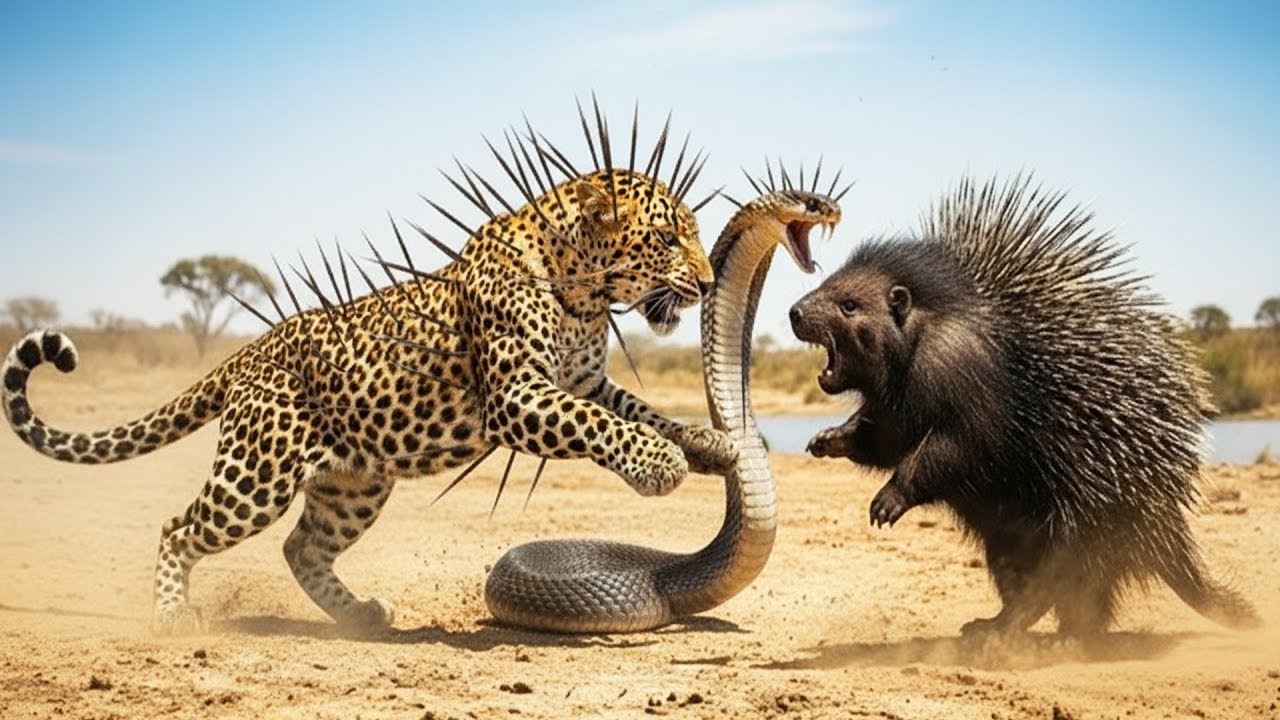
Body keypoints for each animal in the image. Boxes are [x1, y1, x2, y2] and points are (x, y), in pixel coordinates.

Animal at [2, 166, 738, 632]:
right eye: (668, 237)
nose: (706, 281)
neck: (582, 290)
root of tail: (251, 348)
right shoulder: (518, 395)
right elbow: (597, 424)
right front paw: (659, 464)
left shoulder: (580, 379)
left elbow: (636, 410)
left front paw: (706, 444)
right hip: (256, 477)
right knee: (179, 528)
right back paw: (171, 617)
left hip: (355, 484)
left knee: (302, 548)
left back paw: (358, 616)